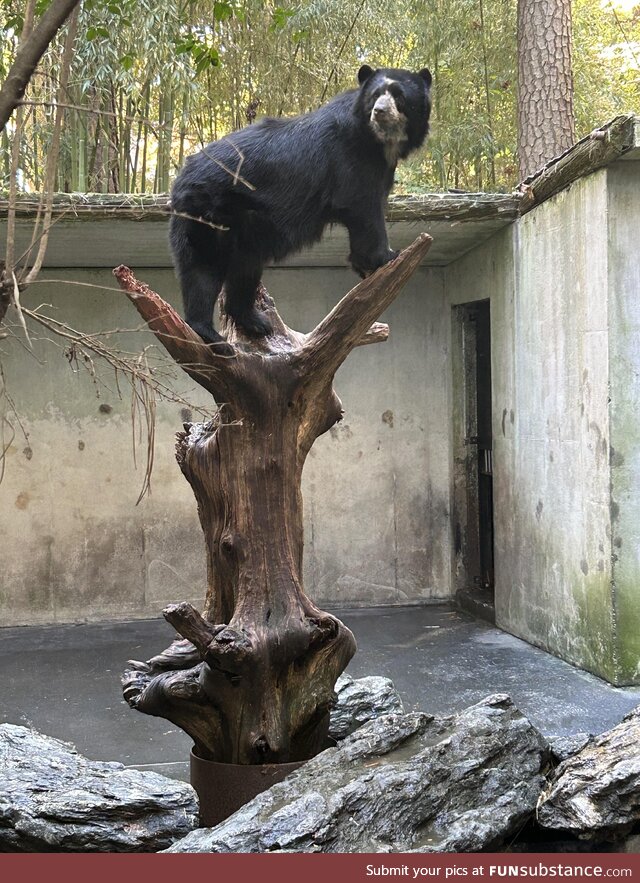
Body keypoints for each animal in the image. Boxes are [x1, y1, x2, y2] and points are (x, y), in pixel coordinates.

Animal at [169, 62, 430, 344]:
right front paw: (385, 257)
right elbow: (364, 209)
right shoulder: (352, 160)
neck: (379, 141)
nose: (379, 112)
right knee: (204, 269)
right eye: (375, 95)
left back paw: (254, 322)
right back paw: (209, 332)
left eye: (399, 96)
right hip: (210, 210)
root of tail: (181, 177)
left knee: (240, 269)